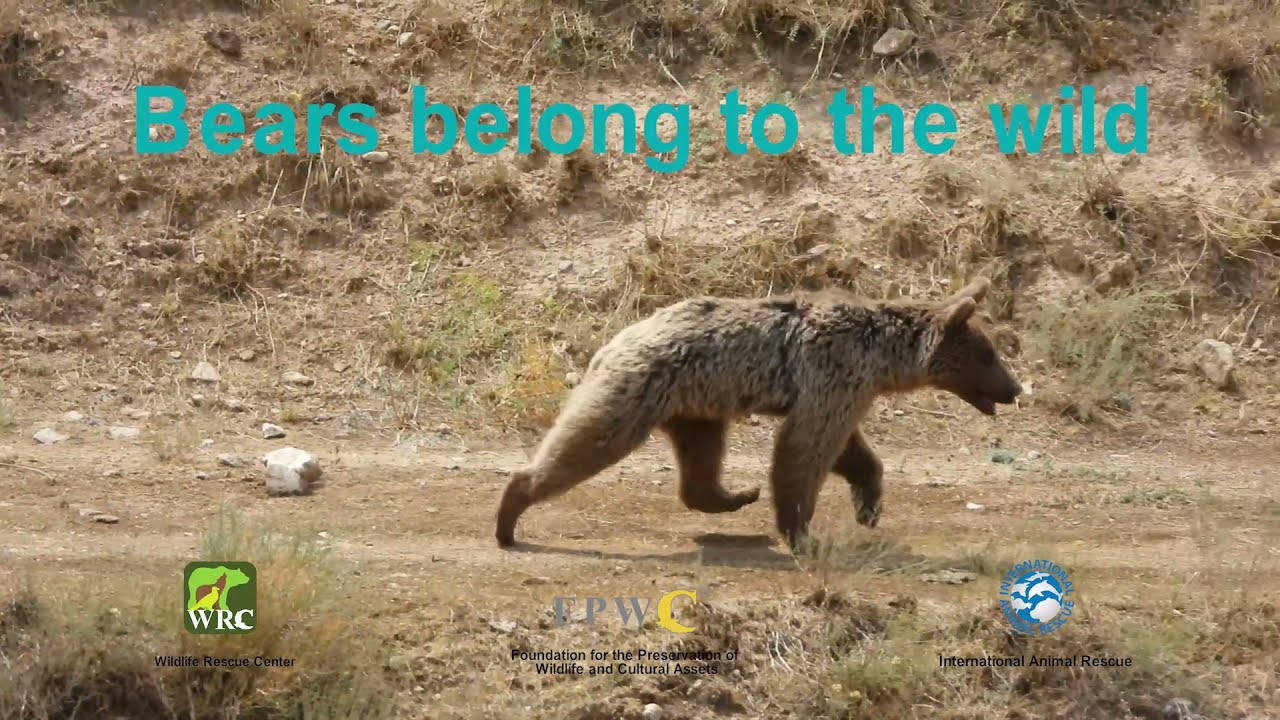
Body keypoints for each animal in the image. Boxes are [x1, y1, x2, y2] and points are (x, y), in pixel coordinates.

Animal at [495, 276, 1022, 552]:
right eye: (988, 355)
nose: (1015, 389)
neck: (884, 356)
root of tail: (610, 343)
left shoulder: (843, 388)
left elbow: (847, 449)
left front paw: (869, 506)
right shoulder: (833, 371)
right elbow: (804, 450)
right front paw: (801, 530)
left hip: (696, 405)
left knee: (700, 461)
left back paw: (735, 494)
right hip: (640, 389)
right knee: (587, 440)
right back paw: (510, 513)